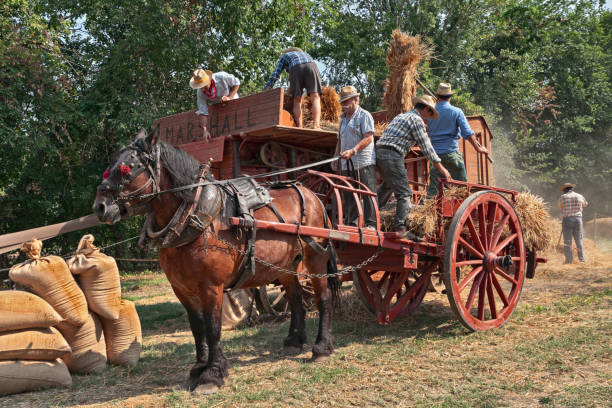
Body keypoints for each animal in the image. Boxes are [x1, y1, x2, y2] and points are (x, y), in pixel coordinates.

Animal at [93, 132, 338, 394]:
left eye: (127, 167)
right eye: (110, 166)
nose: (99, 206)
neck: (196, 216)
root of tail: (312, 195)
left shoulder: (211, 286)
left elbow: (213, 327)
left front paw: (212, 374)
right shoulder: (181, 288)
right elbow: (197, 327)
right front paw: (198, 368)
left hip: (315, 258)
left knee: (323, 298)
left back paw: (322, 347)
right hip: (288, 266)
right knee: (295, 298)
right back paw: (294, 341)